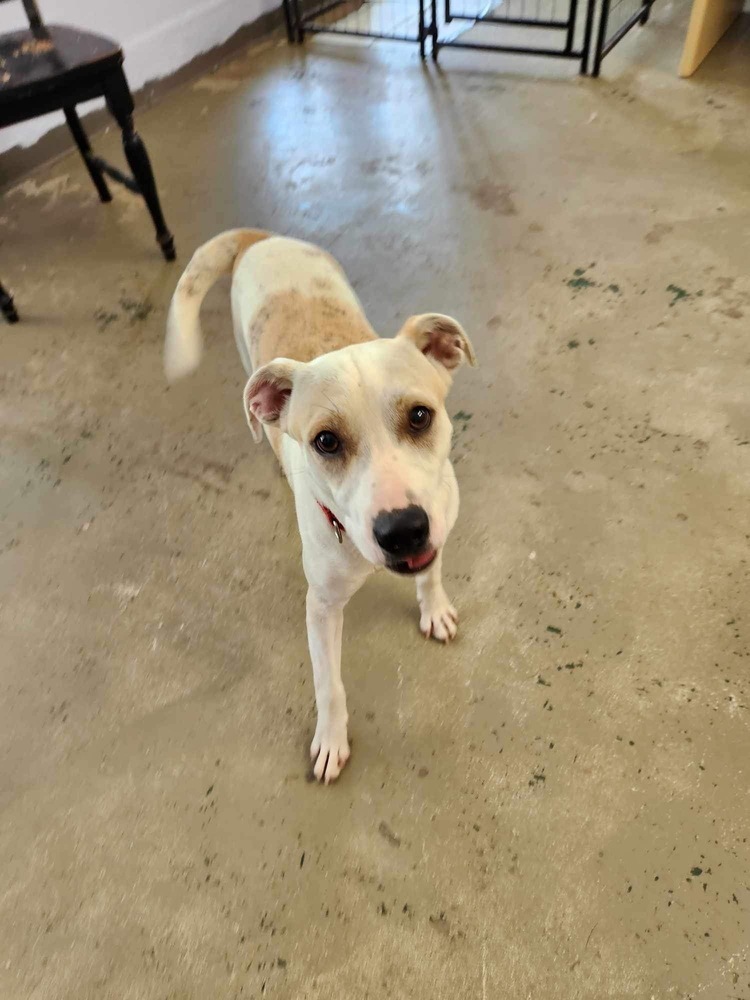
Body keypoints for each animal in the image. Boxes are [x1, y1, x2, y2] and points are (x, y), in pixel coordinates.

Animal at [167, 230, 478, 784]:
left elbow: (432, 572)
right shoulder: (321, 608)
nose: (403, 530)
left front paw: (434, 608)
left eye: (421, 416)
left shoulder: (440, 520)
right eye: (326, 442)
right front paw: (332, 740)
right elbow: (329, 685)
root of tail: (259, 235)